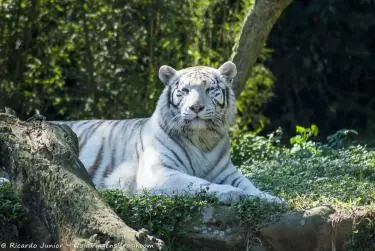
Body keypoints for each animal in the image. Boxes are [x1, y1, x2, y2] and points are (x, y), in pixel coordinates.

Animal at [61, 61, 284, 204]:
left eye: (209, 90)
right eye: (184, 91)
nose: (196, 107)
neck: (202, 139)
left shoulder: (227, 172)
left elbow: (249, 185)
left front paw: (272, 199)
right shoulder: (159, 173)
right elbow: (199, 183)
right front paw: (232, 193)